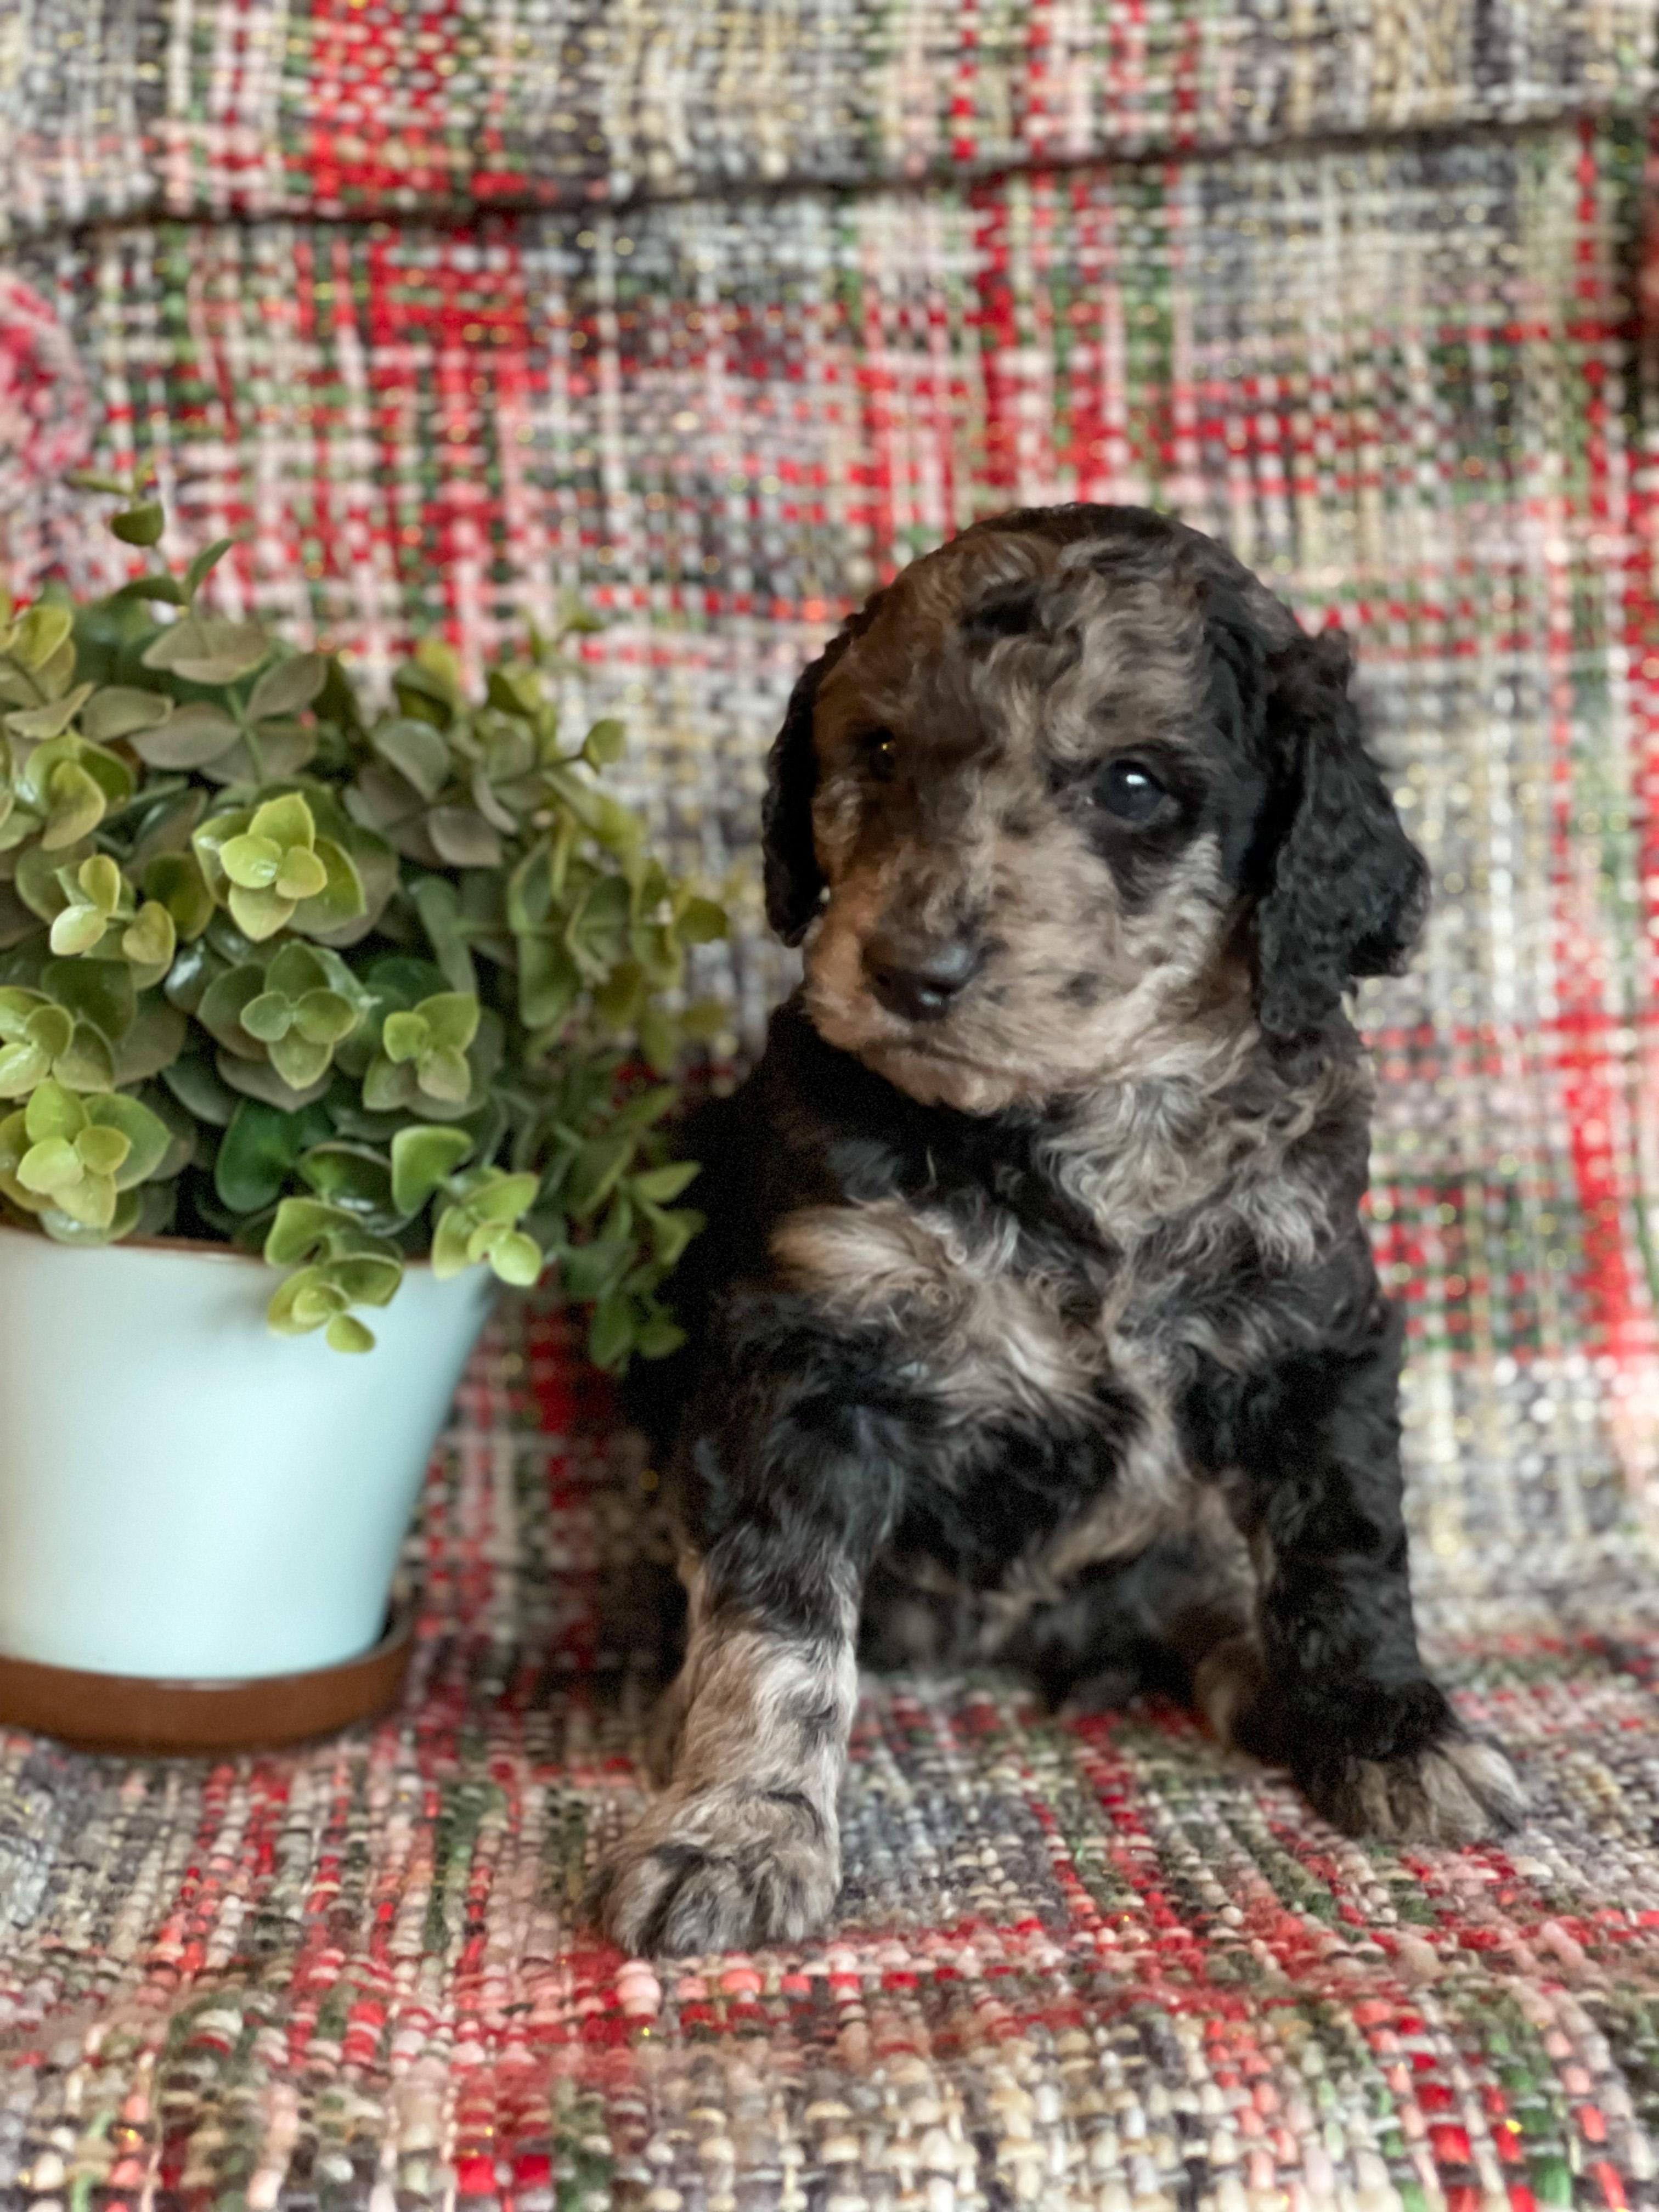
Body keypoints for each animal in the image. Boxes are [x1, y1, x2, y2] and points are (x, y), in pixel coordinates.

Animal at [594, 502, 1525, 1958]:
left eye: (1133, 784)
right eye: (877, 753)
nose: (908, 973)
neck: (1078, 1130)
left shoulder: (1311, 1329)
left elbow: (1346, 1553)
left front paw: (1389, 1733)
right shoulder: (805, 1355)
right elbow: (777, 1622)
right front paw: (736, 1827)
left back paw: (1252, 1670)